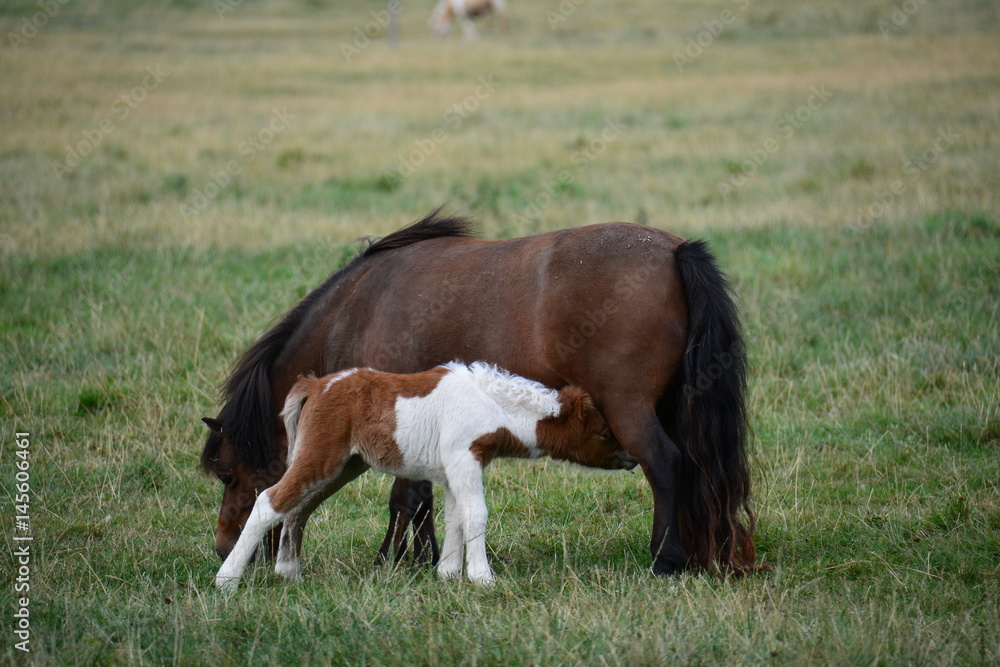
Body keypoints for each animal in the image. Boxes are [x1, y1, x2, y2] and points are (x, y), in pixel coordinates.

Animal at [214, 362, 636, 590]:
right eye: (602, 433)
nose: (631, 458)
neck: (491, 406)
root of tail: (316, 385)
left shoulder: (453, 469)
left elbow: (454, 517)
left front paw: (447, 574)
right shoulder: (465, 458)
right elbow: (476, 515)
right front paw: (481, 577)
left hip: (343, 466)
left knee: (298, 509)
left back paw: (288, 573)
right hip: (321, 456)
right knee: (270, 501)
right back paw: (227, 579)